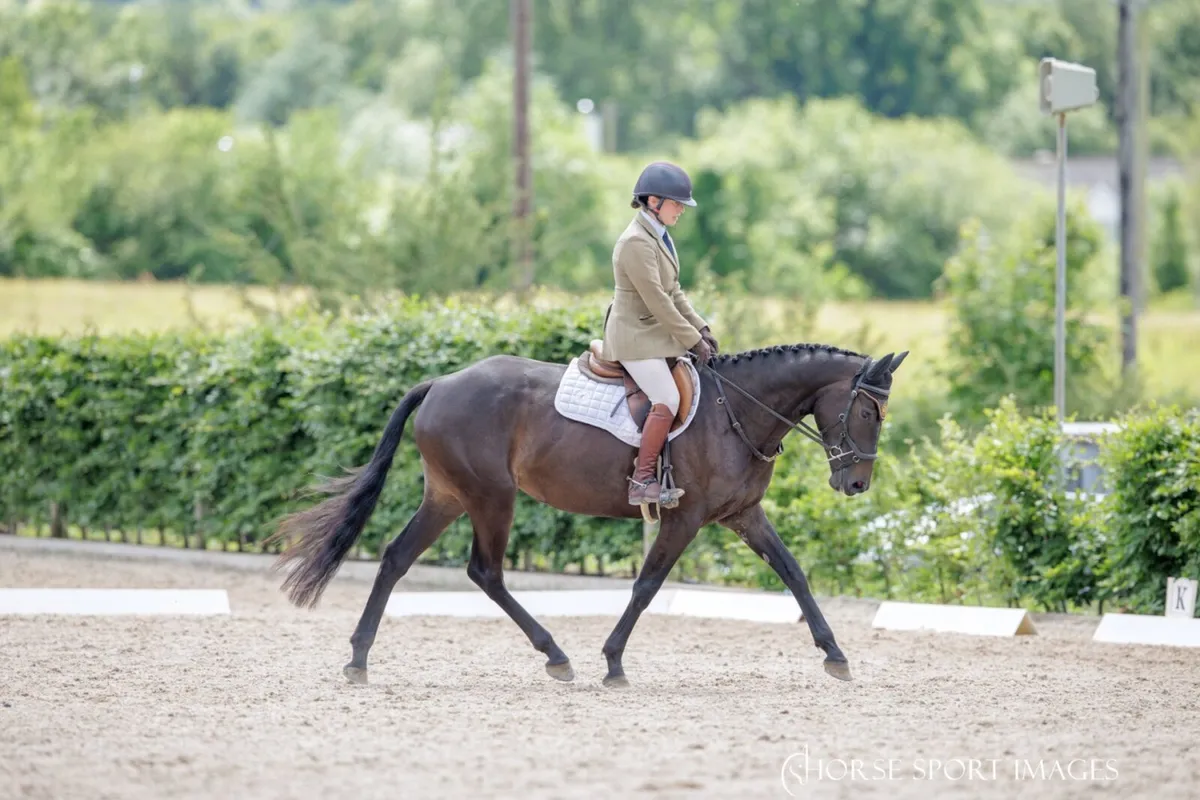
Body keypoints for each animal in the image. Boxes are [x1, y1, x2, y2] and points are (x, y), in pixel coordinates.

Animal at [266, 337, 908, 687]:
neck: (737, 411)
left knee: (397, 558)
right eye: (867, 413)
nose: (856, 483)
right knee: (485, 571)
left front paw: (835, 655)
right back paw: (556, 655)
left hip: (447, 495)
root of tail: (442, 382)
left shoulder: (743, 514)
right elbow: (647, 585)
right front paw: (614, 661)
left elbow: (794, 573)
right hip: (491, 497)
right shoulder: (684, 518)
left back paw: (359, 658)